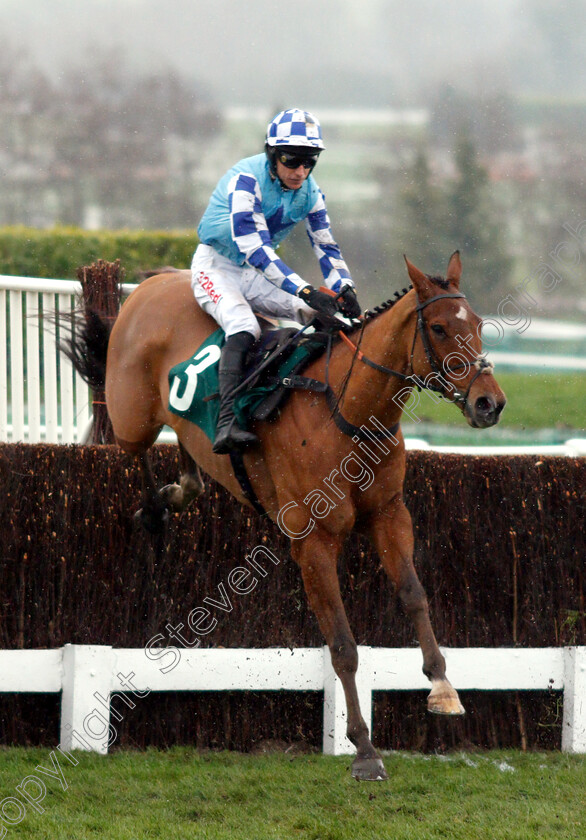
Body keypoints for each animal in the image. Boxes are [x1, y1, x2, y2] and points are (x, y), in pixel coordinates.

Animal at [66, 251, 504, 780]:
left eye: (477, 323)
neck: (348, 412)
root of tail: (157, 281)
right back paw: (154, 511)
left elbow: (414, 596)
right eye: (438, 328)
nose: (490, 403)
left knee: (188, 455)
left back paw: (179, 488)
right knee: (128, 443)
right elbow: (342, 646)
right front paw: (364, 750)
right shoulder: (313, 541)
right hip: (134, 414)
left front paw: (442, 688)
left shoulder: (390, 516)